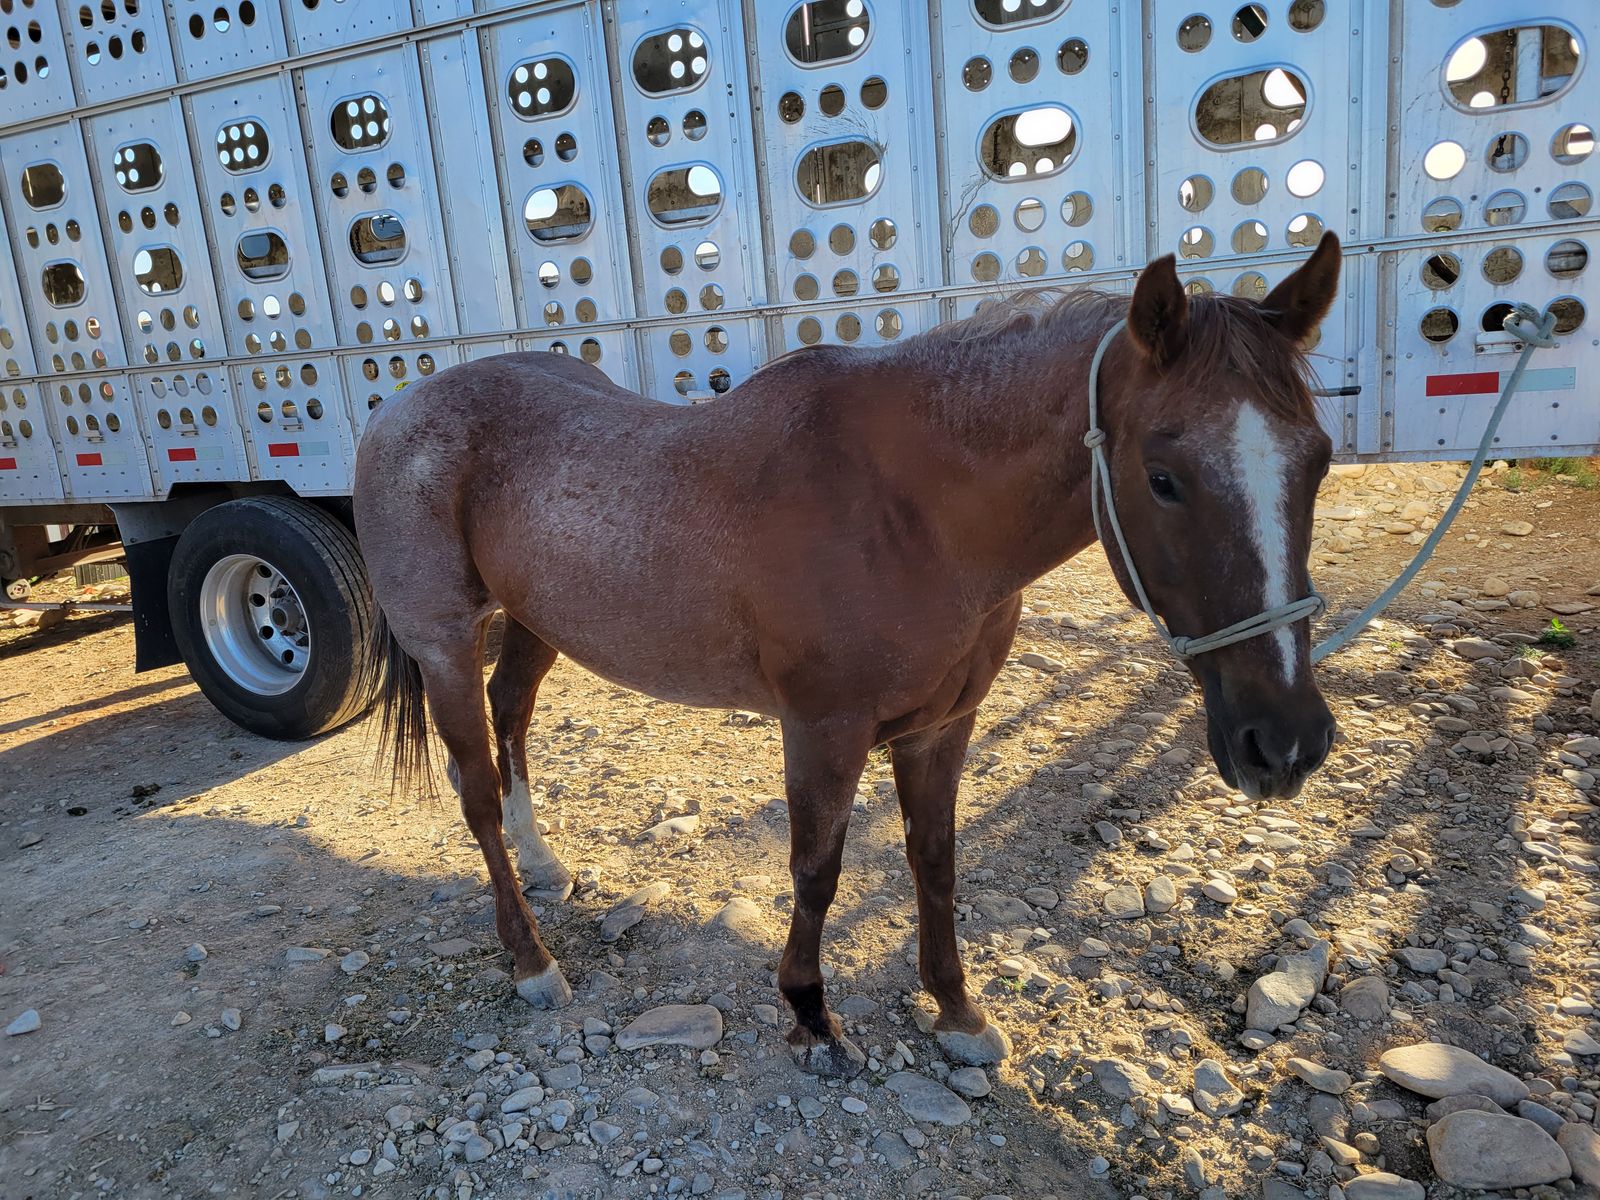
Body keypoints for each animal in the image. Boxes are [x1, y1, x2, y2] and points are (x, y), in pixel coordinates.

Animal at [354, 232, 1343, 1077]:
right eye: (1164, 478)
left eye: (1320, 461)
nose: (1285, 742)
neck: (911, 512)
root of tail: (399, 407)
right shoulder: (823, 730)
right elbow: (817, 870)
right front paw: (808, 1011)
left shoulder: (942, 726)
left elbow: (934, 860)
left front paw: (958, 1011)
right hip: (446, 644)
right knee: (476, 790)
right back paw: (531, 960)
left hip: (534, 624)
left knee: (513, 716)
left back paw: (547, 865)